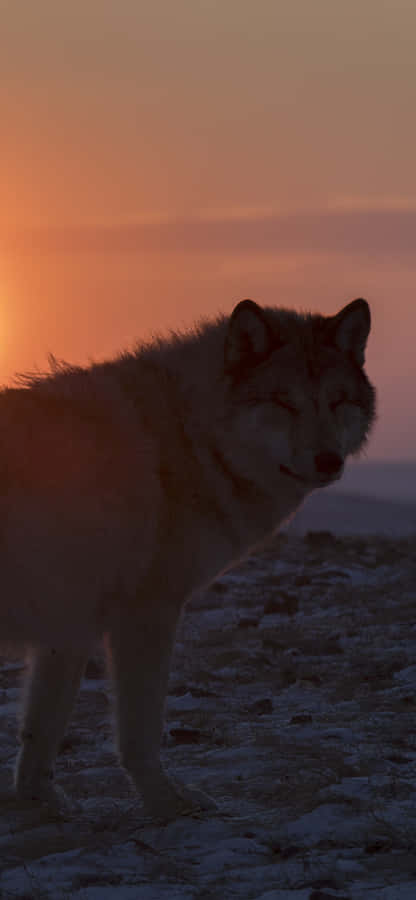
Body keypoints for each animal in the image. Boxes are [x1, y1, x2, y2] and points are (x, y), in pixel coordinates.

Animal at [0, 297, 375, 817]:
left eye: (338, 401)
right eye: (283, 402)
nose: (329, 461)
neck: (192, 438)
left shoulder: (69, 625)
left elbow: (42, 729)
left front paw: (40, 799)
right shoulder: (148, 614)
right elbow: (141, 730)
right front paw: (165, 800)